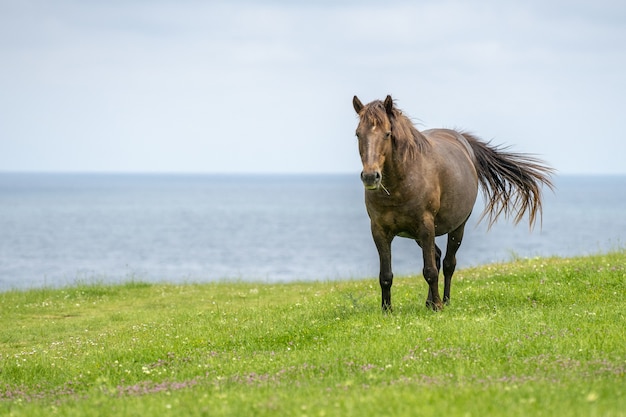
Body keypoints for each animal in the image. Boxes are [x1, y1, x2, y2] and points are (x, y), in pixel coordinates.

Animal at [352, 94, 552, 308]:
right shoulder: (379, 230)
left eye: (387, 133)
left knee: (448, 263)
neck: (400, 185)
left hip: (456, 227)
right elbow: (386, 276)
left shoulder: (425, 226)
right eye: (358, 134)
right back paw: (429, 302)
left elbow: (430, 271)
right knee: (438, 257)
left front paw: (439, 306)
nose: (370, 177)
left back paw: (444, 301)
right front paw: (387, 310)